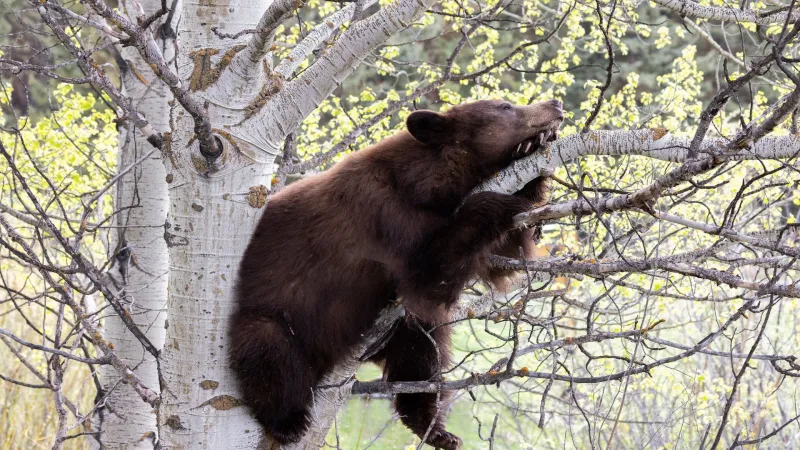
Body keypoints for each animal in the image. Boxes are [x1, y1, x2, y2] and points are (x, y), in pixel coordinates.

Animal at [230, 99, 564, 449]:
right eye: (505, 106)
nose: (555, 103)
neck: (424, 184)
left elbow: (499, 260)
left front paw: (532, 163)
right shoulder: (386, 215)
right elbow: (429, 273)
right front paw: (492, 202)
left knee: (421, 349)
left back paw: (434, 427)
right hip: (276, 317)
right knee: (268, 351)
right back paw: (288, 422)